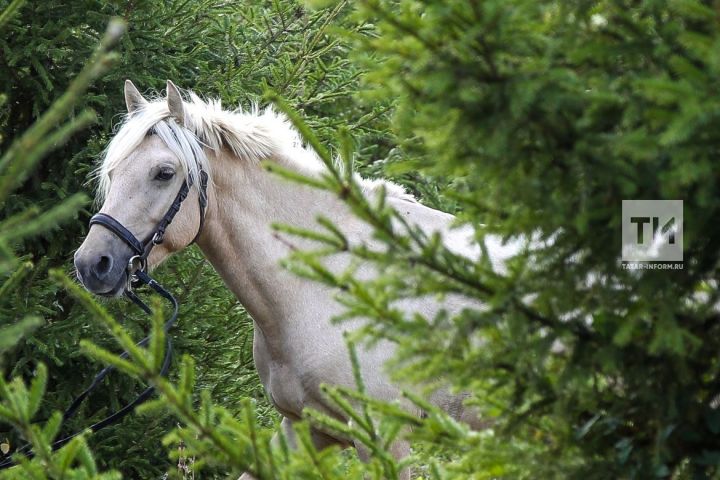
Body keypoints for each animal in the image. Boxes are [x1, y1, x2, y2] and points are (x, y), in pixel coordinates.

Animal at [74, 79, 512, 476]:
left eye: (164, 173)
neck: (324, 285)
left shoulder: (386, 437)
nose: (92, 264)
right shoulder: (304, 428)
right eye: (113, 171)